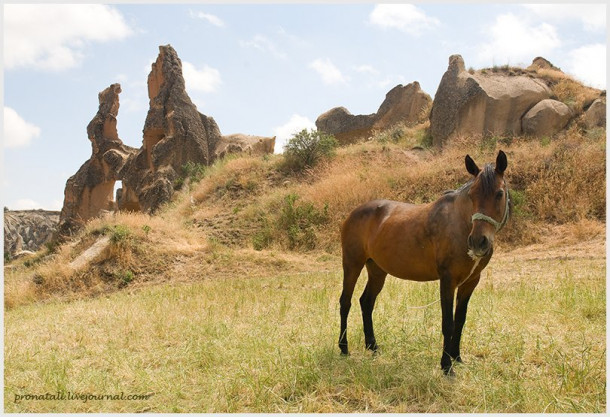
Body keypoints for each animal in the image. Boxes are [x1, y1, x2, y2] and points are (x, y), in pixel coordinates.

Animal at [338, 150, 508, 374]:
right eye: (472, 195)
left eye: (499, 194)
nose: (478, 242)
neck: (460, 225)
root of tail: (352, 214)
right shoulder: (448, 280)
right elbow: (448, 323)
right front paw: (446, 366)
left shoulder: (471, 282)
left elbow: (460, 320)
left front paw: (457, 357)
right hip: (352, 264)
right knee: (345, 302)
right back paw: (343, 348)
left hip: (377, 270)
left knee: (366, 302)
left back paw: (373, 346)